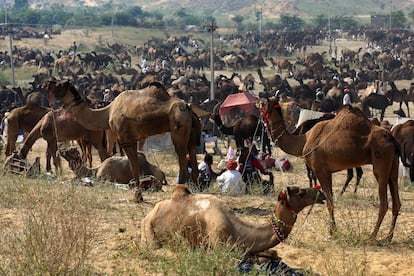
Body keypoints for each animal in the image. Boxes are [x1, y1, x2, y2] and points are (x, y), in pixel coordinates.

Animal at [45, 78, 201, 202]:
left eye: (60, 84)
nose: (47, 83)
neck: (107, 111)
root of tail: (189, 109)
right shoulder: (133, 139)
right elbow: (135, 164)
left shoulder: (125, 138)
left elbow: (134, 167)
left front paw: (138, 196)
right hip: (193, 135)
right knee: (193, 160)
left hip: (179, 129)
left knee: (183, 162)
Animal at [262, 98, 402, 240]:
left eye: (262, 104)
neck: (303, 141)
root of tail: (392, 139)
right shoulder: (327, 171)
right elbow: (331, 199)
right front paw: (333, 230)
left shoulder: (319, 170)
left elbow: (329, 201)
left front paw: (332, 231)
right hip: (393, 165)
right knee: (396, 199)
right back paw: (389, 237)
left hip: (381, 160)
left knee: (384, 202)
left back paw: (372, 235)